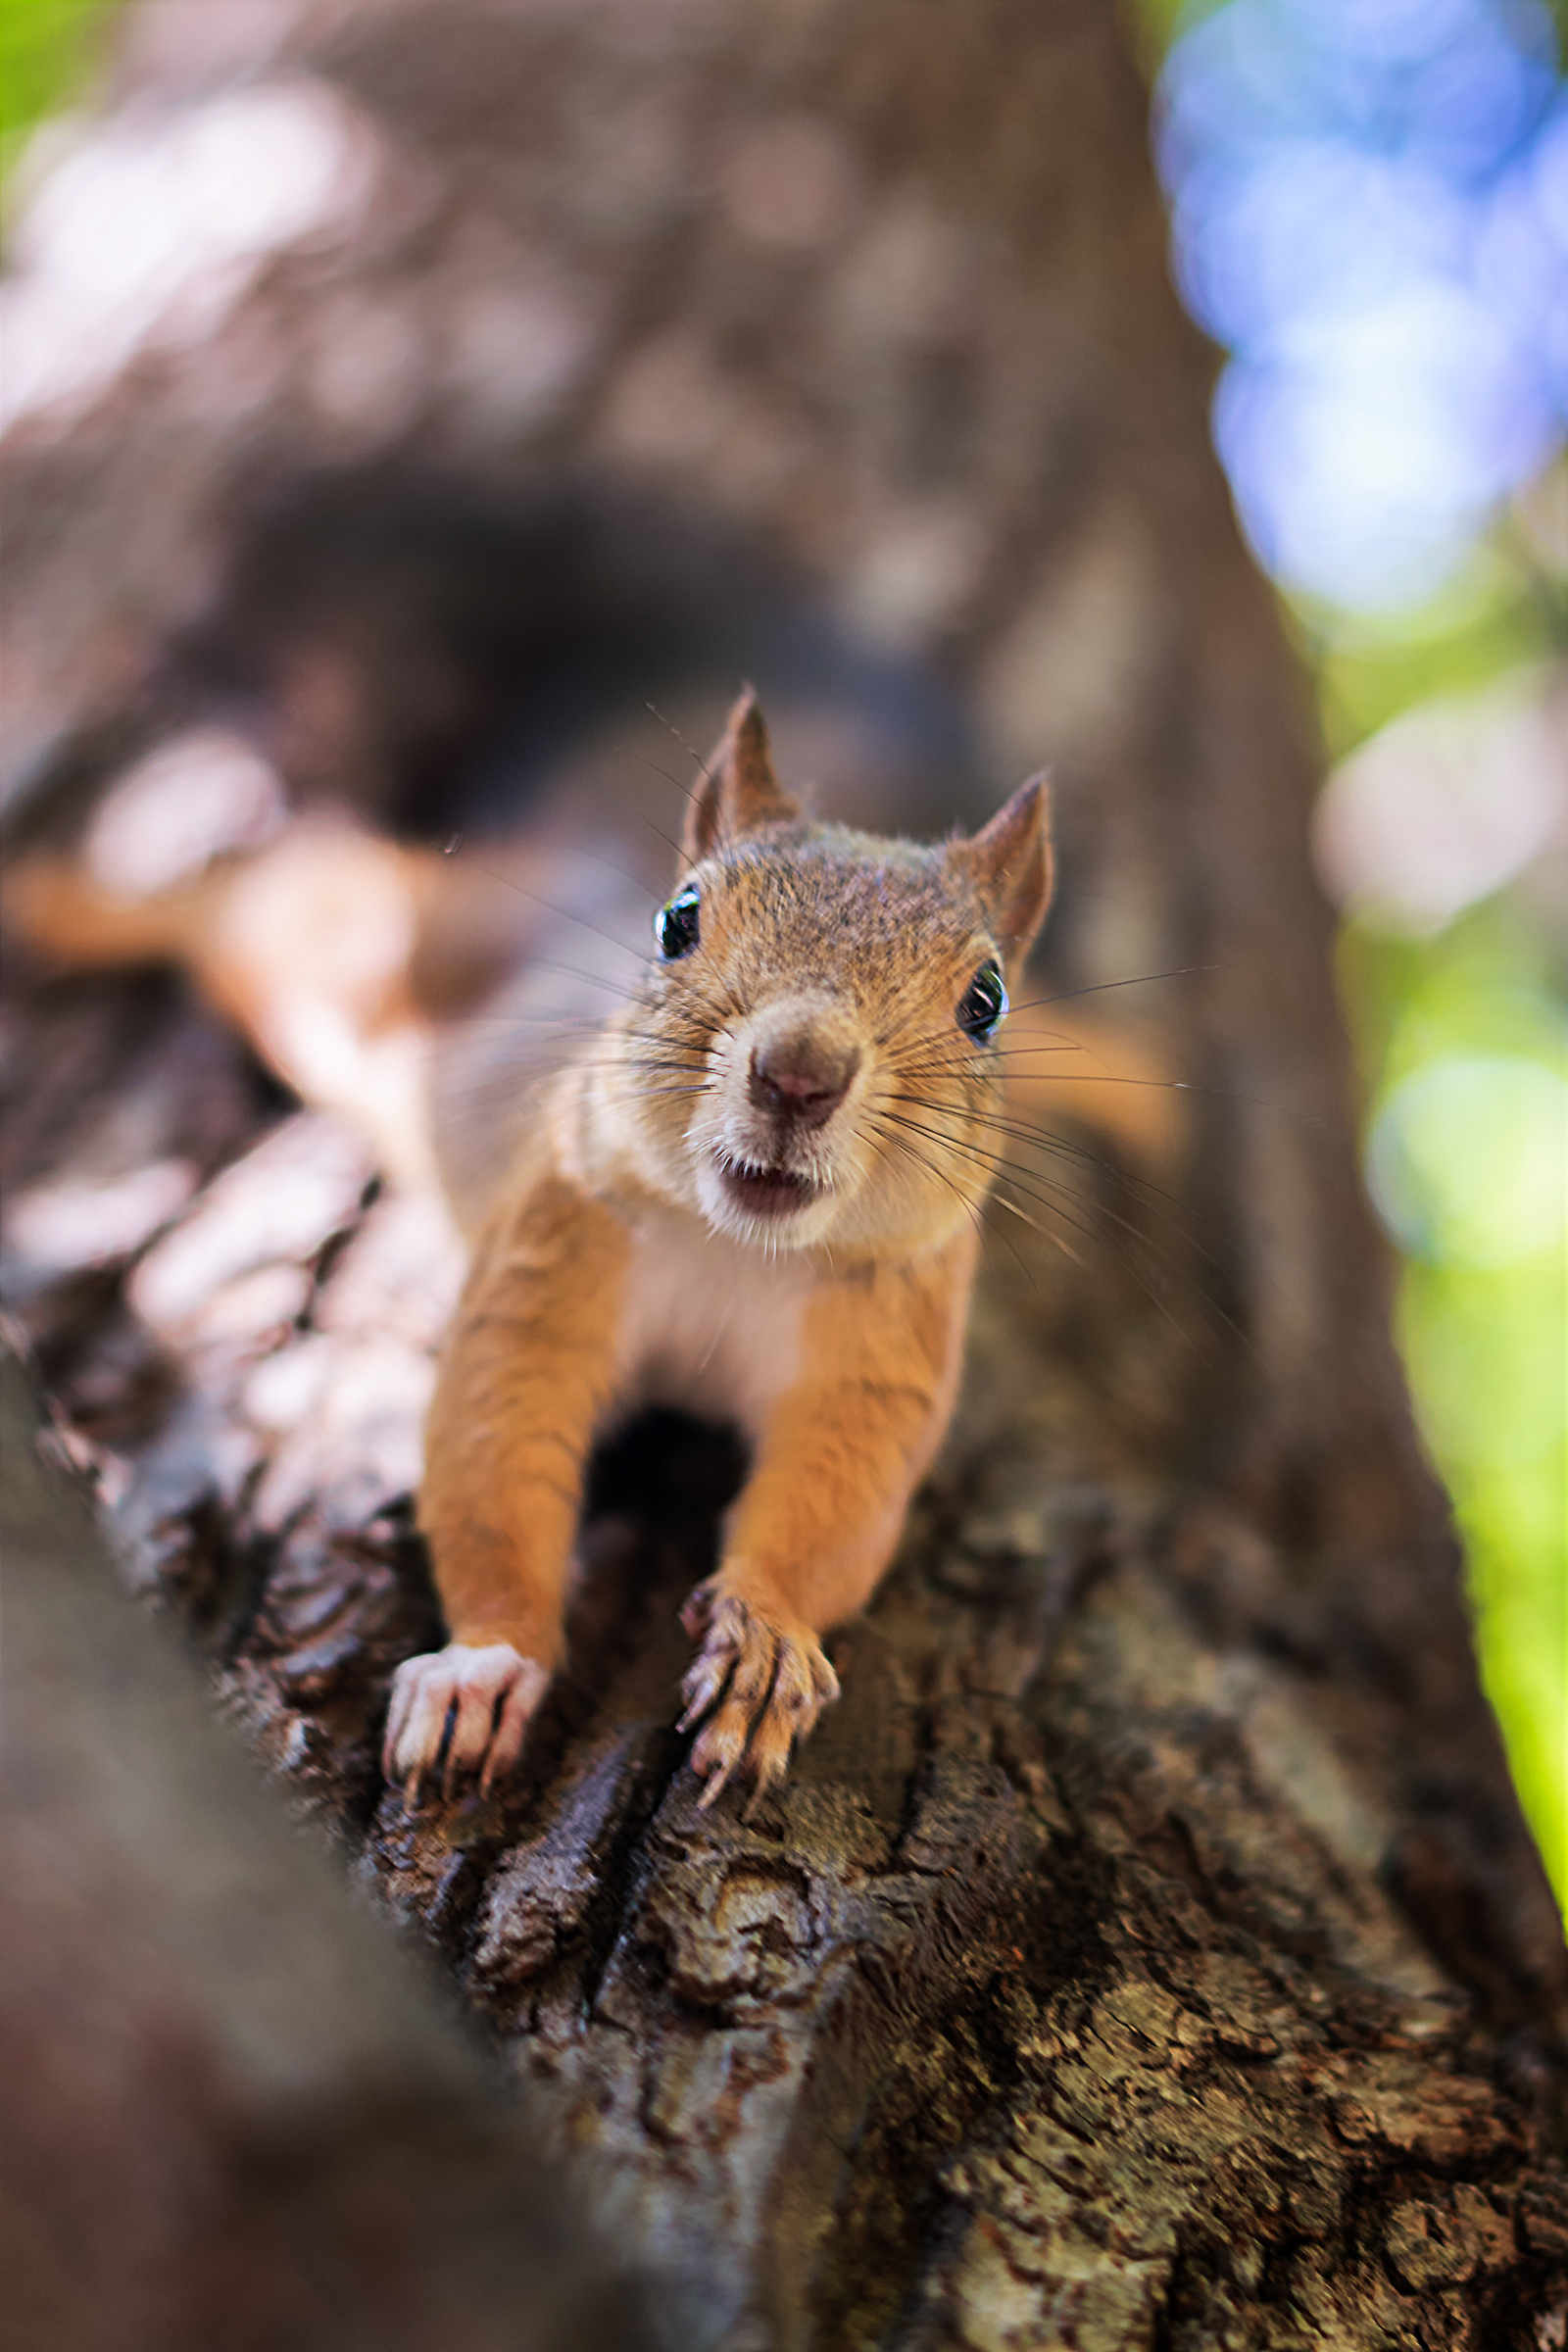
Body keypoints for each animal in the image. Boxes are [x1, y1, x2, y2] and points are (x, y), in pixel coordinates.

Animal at [9, 686, 1175, 1806]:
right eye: (679, 921)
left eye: (986, 1000)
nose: (798, 1074)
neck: (734, 1246)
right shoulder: (547, 1255)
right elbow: (493, 1442)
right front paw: (485, 1663)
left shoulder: (881, 1353)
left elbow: (836, 1503)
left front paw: (767, 1641)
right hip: (355, 958)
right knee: (273, 897)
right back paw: (72, 908)